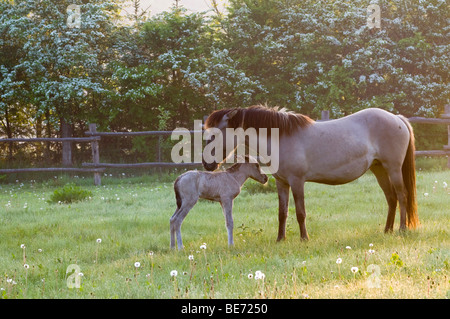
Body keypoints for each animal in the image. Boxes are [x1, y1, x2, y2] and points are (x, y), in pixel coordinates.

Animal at [202, 105, 420, 242]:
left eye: (213, 135)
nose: (207, 164)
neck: (281, 138)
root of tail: (397, 118)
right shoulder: (282, 182)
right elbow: (282, 212)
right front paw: (280, 239)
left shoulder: (297, 181)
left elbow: (300, 212)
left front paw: (304, 238)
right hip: (379, 169)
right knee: (391, 198)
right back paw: (387, 230)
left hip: (393, 168)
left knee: (402, 196)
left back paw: (401, 229)